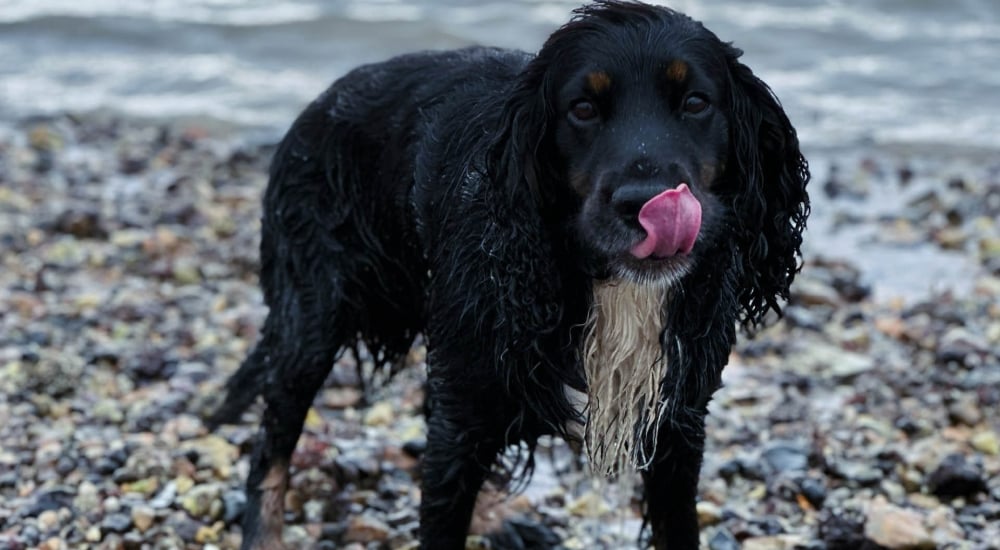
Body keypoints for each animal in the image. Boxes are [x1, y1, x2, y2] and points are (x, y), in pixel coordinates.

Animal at [207, 2, 808, 548]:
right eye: (582, 108)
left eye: (696, 102)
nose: (644, 202)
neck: (603, 282)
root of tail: (315, 106)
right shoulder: (463, 413)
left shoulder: (678, 424)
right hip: (313, 319)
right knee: (272, 447)